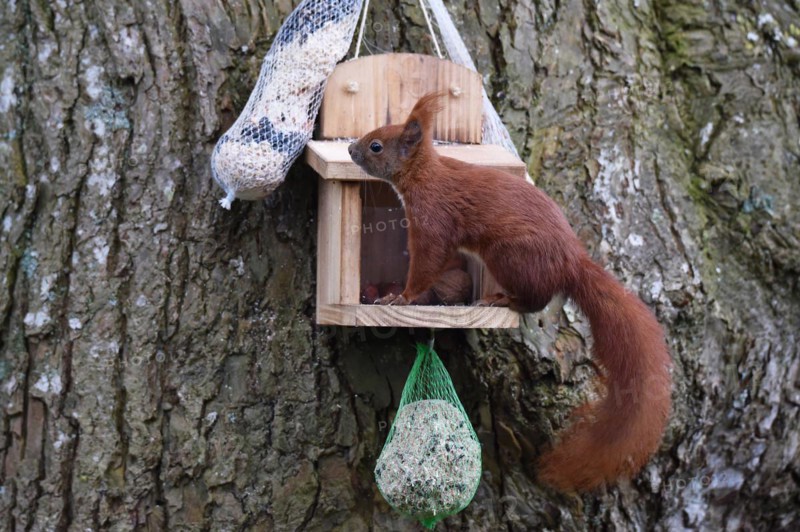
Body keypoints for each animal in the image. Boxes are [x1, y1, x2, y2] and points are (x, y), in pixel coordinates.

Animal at [347, 93, 672, 492]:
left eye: (376, 145)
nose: (350, 148)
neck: (425, 176)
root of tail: (571, 260)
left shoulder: (434, 219)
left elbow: (427, 263)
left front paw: (401, 298)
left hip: (509, 255)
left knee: (535, 301)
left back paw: (501, 299)